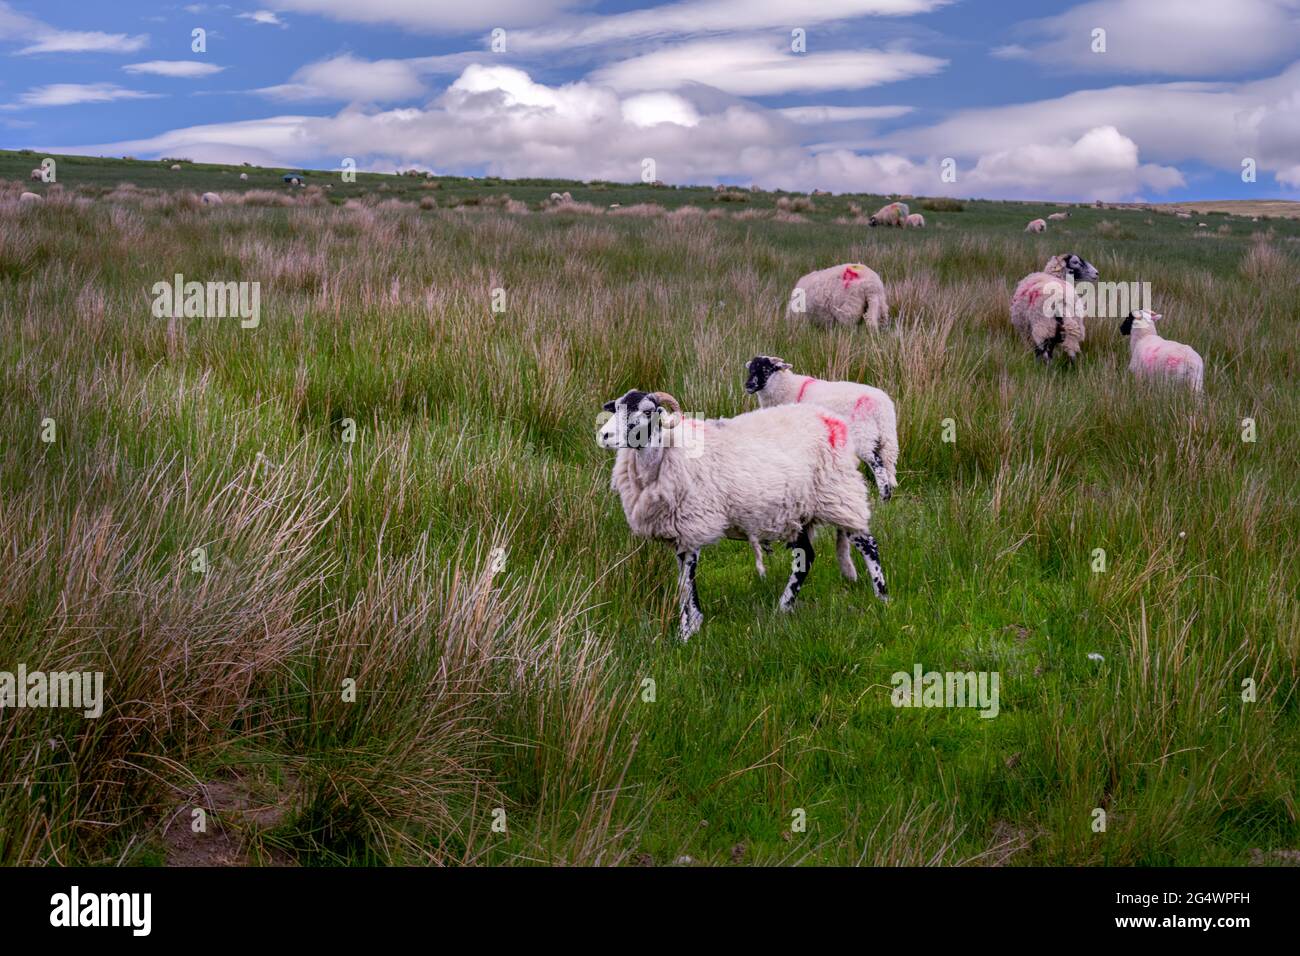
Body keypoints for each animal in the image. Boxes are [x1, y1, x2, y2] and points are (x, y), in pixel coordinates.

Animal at [743, 356, 904, 504]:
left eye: (766, 370)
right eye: (750, 370)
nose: (748, 385)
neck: (789, 388)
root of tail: (882, 407)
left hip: (864, 435)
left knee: (878, 464)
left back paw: (883, 498)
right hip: (887, 437)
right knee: (888, 465)